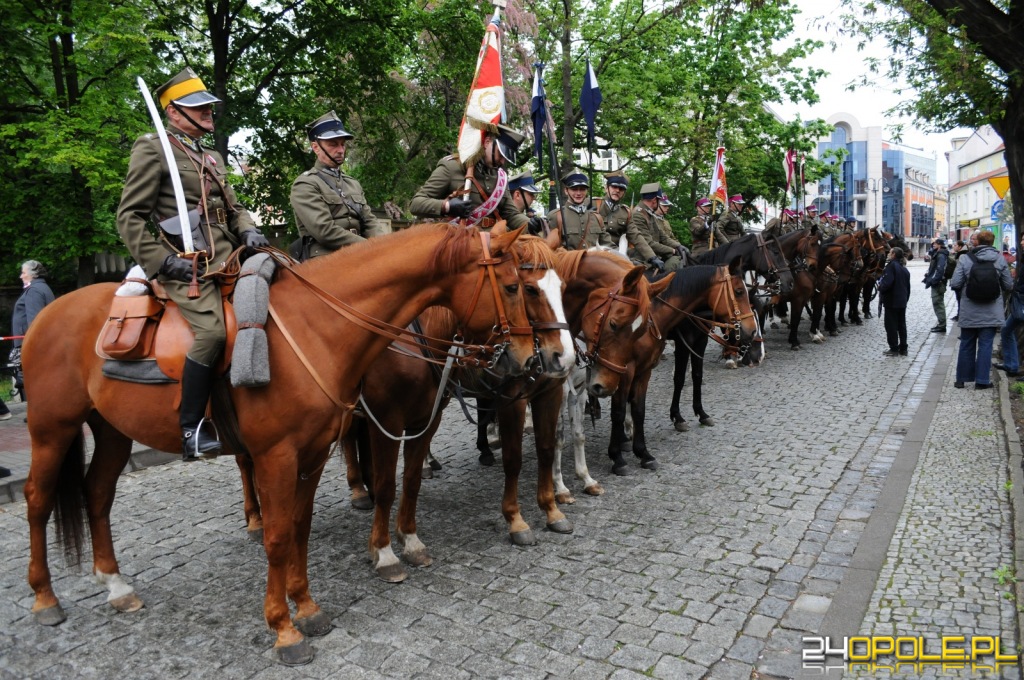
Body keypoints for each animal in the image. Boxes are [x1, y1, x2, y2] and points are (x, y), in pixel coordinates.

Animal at [22, 222, 569, 663]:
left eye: (557, 286)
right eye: (517, 285)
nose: (538, 360)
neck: (320, 328)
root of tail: (48, 314)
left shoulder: (323, 450)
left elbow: (306, 527)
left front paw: (307, 607)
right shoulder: (292, 452)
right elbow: (287, 533)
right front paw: (285, 628)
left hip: (113, 430)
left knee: (97, 494)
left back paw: (114, 584)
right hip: (52, 429)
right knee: (38, 499)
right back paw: (46, 599)